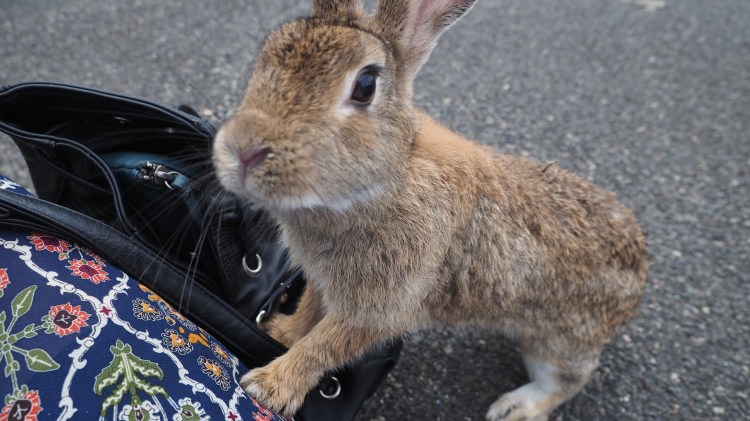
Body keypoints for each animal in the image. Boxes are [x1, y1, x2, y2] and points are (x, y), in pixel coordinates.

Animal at [212, 0, 649, 419]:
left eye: (365, 86)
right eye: (267, 53)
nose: (243, 150)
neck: (388, 179)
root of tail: (642, 265)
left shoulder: (381, 306)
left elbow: (324, 346)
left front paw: (270, 387)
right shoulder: (324, 282)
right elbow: (308, 314)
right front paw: (281, 332)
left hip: (556, 343)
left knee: (568, 380)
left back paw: (514, 408)